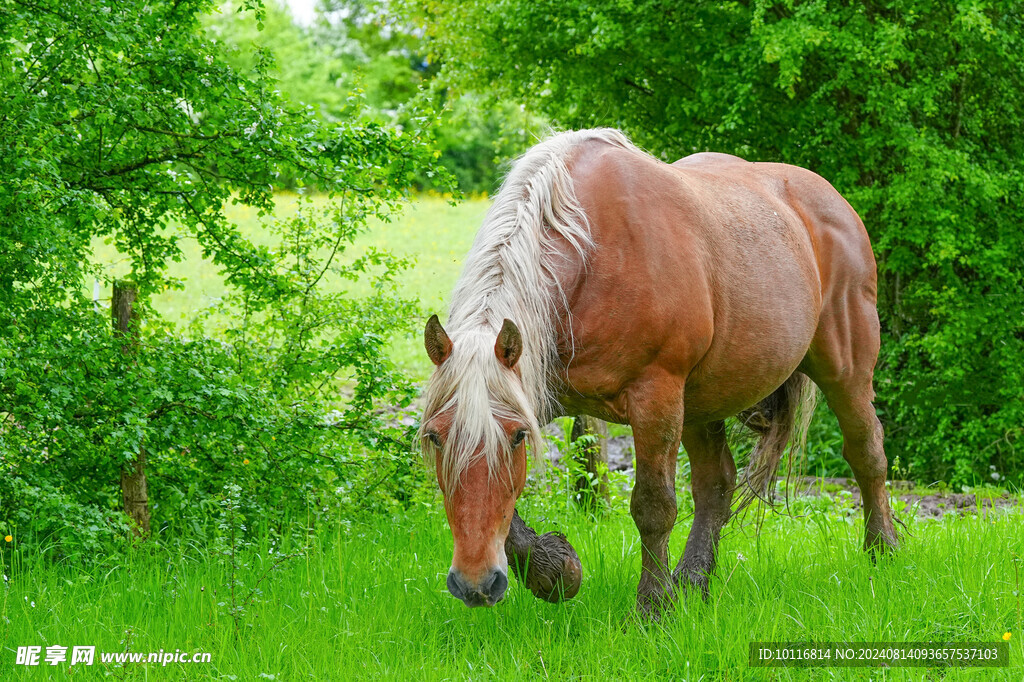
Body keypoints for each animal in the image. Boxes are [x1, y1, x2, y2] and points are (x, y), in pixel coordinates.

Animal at [415, 125, 897, 610]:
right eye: (435, 436)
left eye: (516, 438)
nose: (475, 583)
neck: (592, 255)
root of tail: (832, 201)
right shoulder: (535, 392)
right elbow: (511, 505)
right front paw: (555, 570)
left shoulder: (655, 397)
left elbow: (653, 507)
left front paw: (651, 608)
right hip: (703, 402)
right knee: (716, 485)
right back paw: (692, 580)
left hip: (845, 371)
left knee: (867, 453)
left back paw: (883, 551)